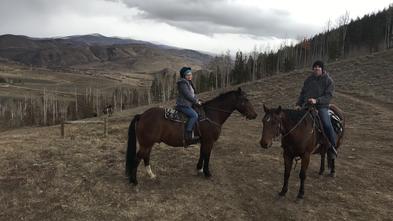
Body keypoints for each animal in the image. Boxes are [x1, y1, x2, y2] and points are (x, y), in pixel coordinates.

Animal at [125, 87, 258, 185]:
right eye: (245, 100)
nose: (255, 115)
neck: (211, 114)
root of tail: (142, 115)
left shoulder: (204, 141)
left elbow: (202, 154)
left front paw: (199, 169)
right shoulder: (209, 141)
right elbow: (207, 155)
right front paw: (207, 173)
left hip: (148, 144)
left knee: (145, 157)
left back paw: (151, 175)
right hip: (146, 144)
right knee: (137, 159)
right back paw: (134, 181)